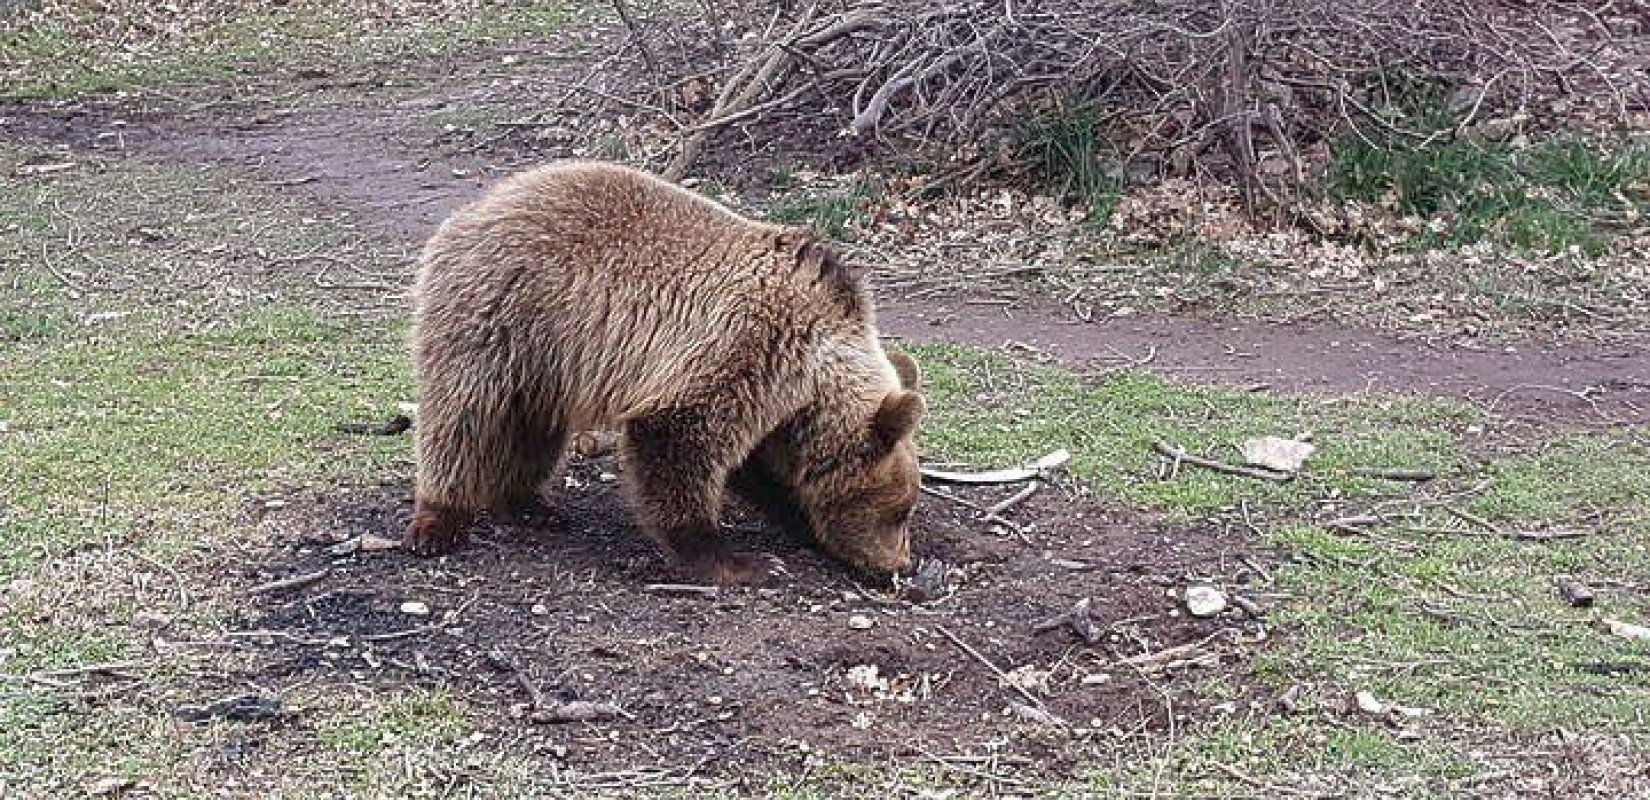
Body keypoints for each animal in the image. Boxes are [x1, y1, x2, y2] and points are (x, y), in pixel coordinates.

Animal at [397, 159, 917, 583]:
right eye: (900, 511)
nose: (900, 565)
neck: (814, 370)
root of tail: (471, 209)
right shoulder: (748, 344)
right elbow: (679, 440)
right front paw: (739, 561)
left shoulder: (772, 398)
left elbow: (756, 467)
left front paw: (796, 520)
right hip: (500, 316)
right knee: (464, 417)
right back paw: (438, 522)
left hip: (546, 361)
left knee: (531, 428)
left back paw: (531, 504)